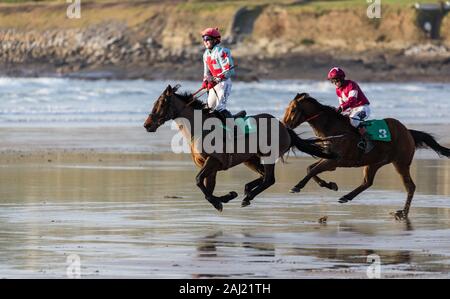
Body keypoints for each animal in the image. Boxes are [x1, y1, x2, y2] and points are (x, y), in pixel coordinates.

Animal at [143, 85, 334, 212]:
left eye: (161, 104)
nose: (147, 125)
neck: (200, 128)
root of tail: (284, 126)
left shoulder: (213, 161)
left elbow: (198, 181)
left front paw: (219, 201)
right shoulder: (210, 166)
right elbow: (207, 189)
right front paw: (226, 197)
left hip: (268, 155)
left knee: (269, 179)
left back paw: (248, 196)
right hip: (250, 159)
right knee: (263, 176)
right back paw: (247, 190)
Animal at [284, 93, 448, 220]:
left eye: (293, 109)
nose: (285, 126)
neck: (334, 129)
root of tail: (408, 132)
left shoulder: (335, 161)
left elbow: (313, 170)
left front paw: (296, 187)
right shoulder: (329, 159)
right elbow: (310, 168)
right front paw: (330, 185)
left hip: (401, 163)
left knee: (410, 186)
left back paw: (402, 213)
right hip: (374, 162)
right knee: (367, 182)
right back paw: (346, 197)